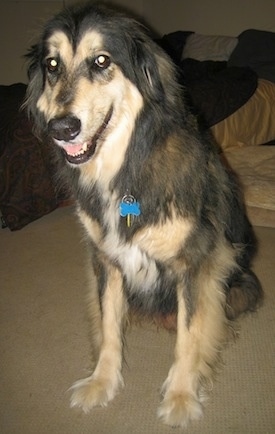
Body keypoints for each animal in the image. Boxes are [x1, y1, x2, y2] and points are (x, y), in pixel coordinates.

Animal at [24, 1, 264, 428]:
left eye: (102, 60)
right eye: (52, 65)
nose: (61, 129)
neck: (125, 170)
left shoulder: (195, 263)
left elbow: (189, 335)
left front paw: (182, 396)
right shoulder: (105, 260)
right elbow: (107, 326)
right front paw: (102, 382)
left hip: (239, 283)